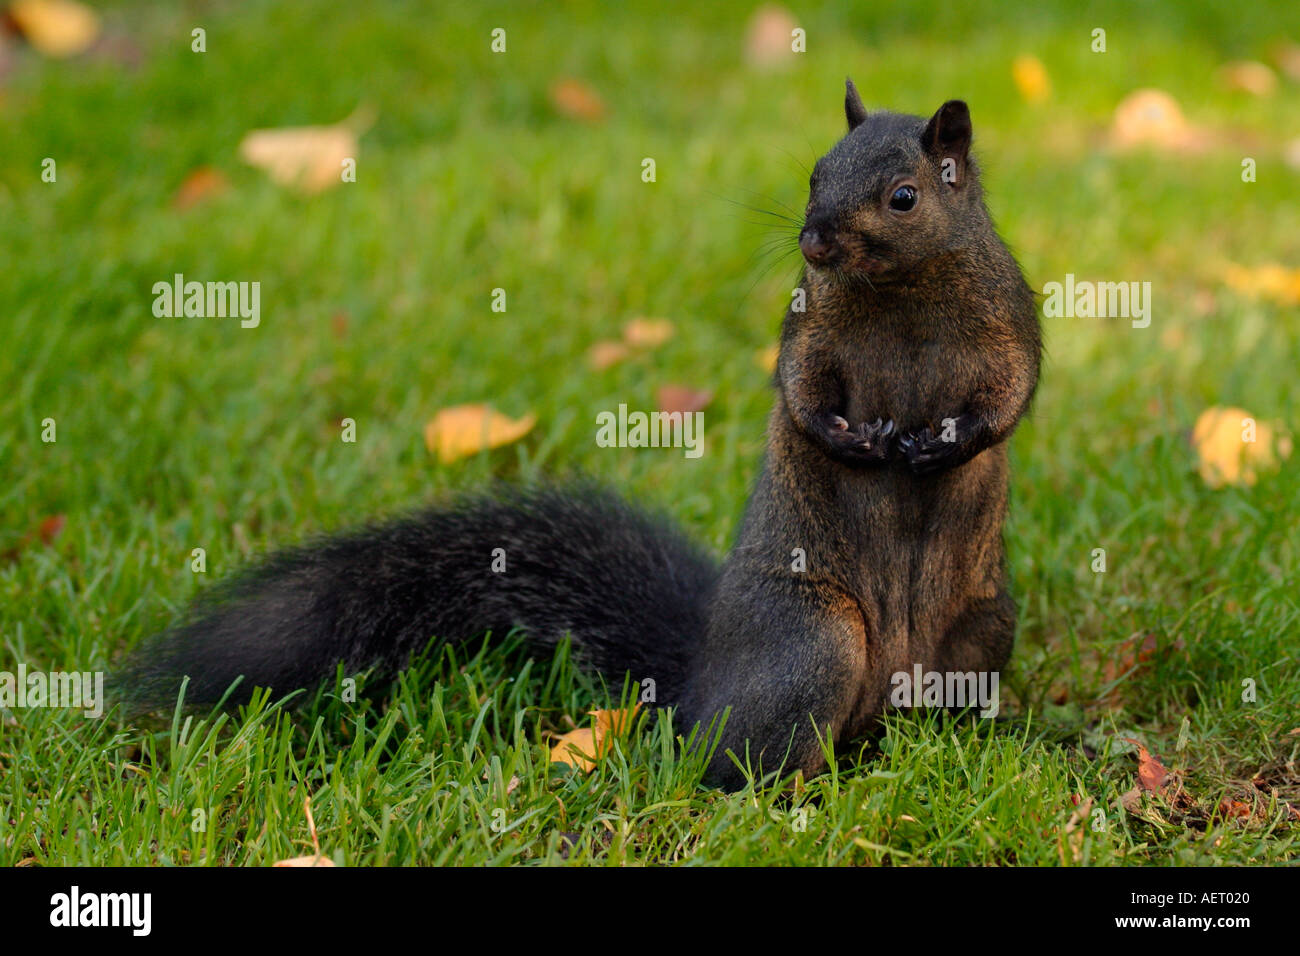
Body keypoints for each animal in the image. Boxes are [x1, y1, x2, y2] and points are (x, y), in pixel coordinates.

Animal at [119, 80, 1034, 790]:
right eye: (815, 172)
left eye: (905, 197)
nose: (812, 241)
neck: (902, 291)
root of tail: (699, 687)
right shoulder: (811, 325)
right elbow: (802, 390)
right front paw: (851, 441)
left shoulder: (1006, 314)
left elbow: (1014, 391)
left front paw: (943, 443)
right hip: (814, 641)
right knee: (737, 767)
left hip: (981, 629)